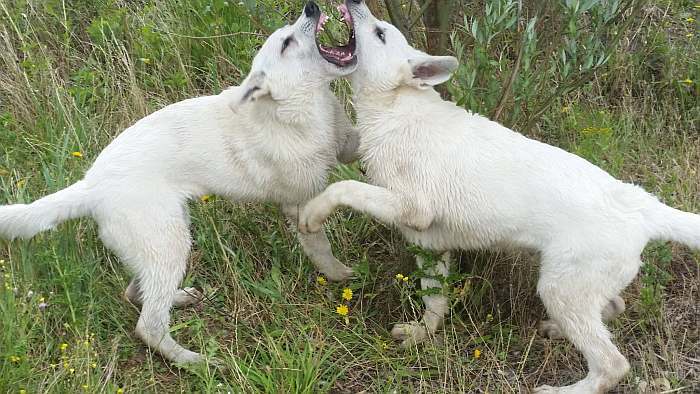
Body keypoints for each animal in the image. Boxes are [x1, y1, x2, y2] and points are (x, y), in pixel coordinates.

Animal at [1, 1, 360, 364]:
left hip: (167, 238)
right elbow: (321, 248)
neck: (298, 109)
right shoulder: (301, 203)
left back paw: (180, 297)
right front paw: (341, 274)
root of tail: (90, 186)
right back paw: (197, 362)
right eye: (287, 43)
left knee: (136, 292)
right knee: (149, 324)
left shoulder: (346, 146)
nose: (311, 7)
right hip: (169, 243)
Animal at [300, 1, 700, 392]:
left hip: (558, 288)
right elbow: (435, 301)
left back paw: (560, 389)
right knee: (614, 307)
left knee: (612, 365)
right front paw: (419, 335)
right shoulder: (429, 243)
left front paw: (311, 216)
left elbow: (344, 188)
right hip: (577, 289)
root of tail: (644, 206)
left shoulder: (413, 209)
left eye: (381, 33)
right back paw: (555, 329)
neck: (395, 107)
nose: (354, 2)